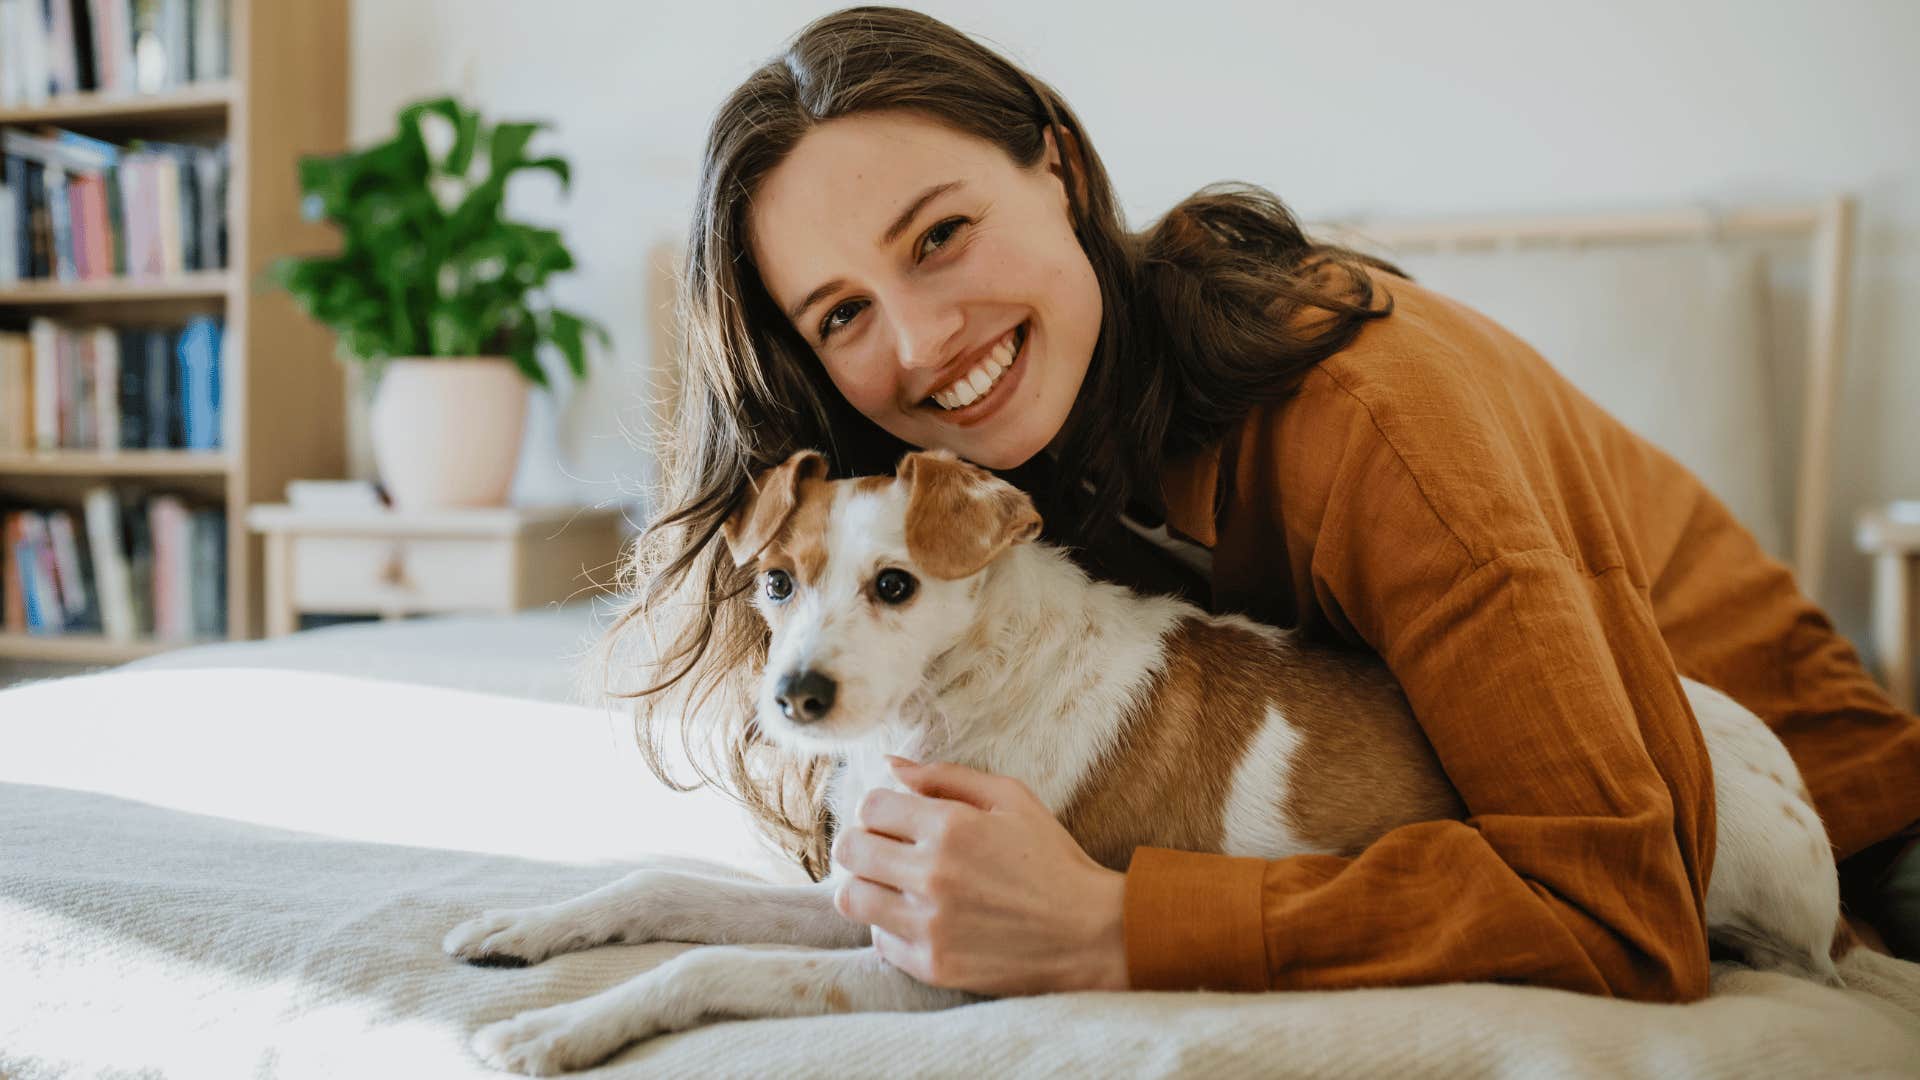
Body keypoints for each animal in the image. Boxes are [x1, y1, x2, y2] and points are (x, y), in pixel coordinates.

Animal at [449, 443, 1843, 1068]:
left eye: (897, 584)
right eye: (779, 581)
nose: (796, 697)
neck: (964, 693)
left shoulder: (944, 968)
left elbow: (709, 965)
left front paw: (557, 1030)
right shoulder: (866, 893)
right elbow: (663, 891)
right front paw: (524, 936)